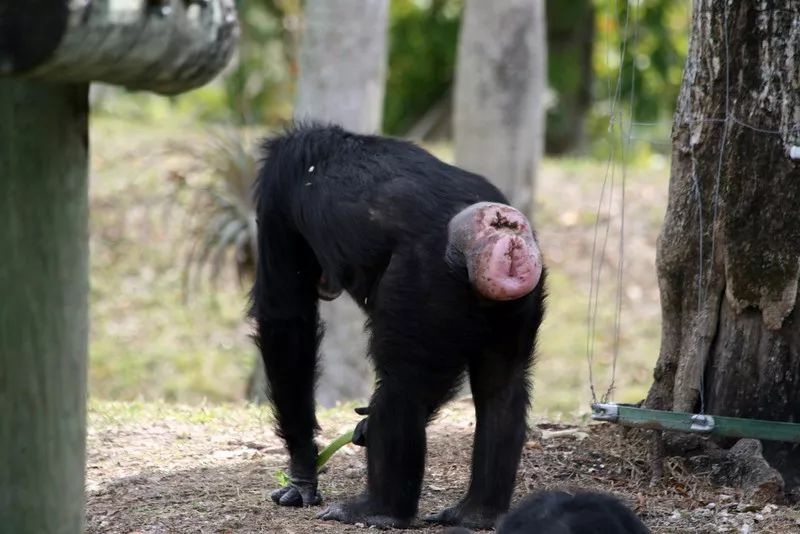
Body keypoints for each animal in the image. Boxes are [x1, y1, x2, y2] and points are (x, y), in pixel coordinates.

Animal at [252, 122, 544, 532]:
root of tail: (499, 231)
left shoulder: (277, 188)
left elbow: (286, 318)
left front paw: (301, 476)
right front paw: (363, 429)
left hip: (423, 287)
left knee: (402, 386)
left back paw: (379, 509)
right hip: (520, 301)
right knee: (502, 388)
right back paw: (477, 512)